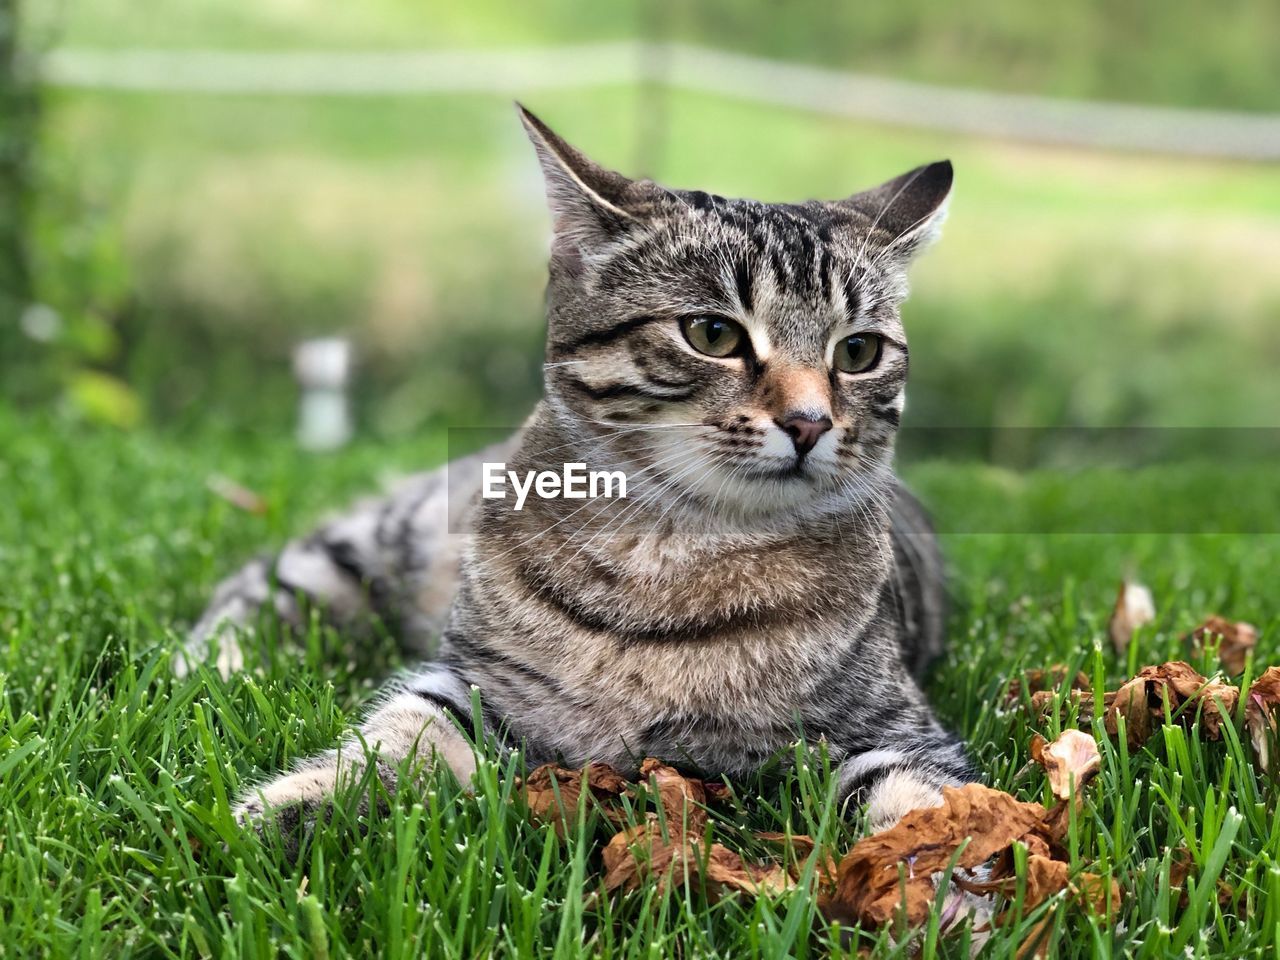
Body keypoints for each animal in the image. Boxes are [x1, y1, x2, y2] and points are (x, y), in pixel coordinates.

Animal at [180, 106, 972, 849]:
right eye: (713, 334)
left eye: (859, 352)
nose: (810, 422)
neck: (673, 564)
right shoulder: (476, 685)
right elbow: (396, 741)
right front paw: (276, 813)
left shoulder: (894, 729)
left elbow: (926, 806)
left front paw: (948, 879)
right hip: (371, 544)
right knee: (255, 586)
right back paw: (204, 668)